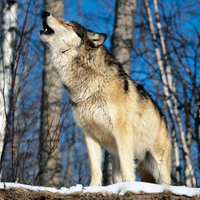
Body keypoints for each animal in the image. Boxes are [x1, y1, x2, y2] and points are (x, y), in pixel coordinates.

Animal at [39, 10, 171, 186]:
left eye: (68, 24)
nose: (44, 12)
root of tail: (163, 117)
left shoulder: (122, 131)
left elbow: (127, 168)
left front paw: (128, 187)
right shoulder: (89, 134)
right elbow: (95, 169)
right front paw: (92, 188)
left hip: (159, 164)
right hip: (116, 156)